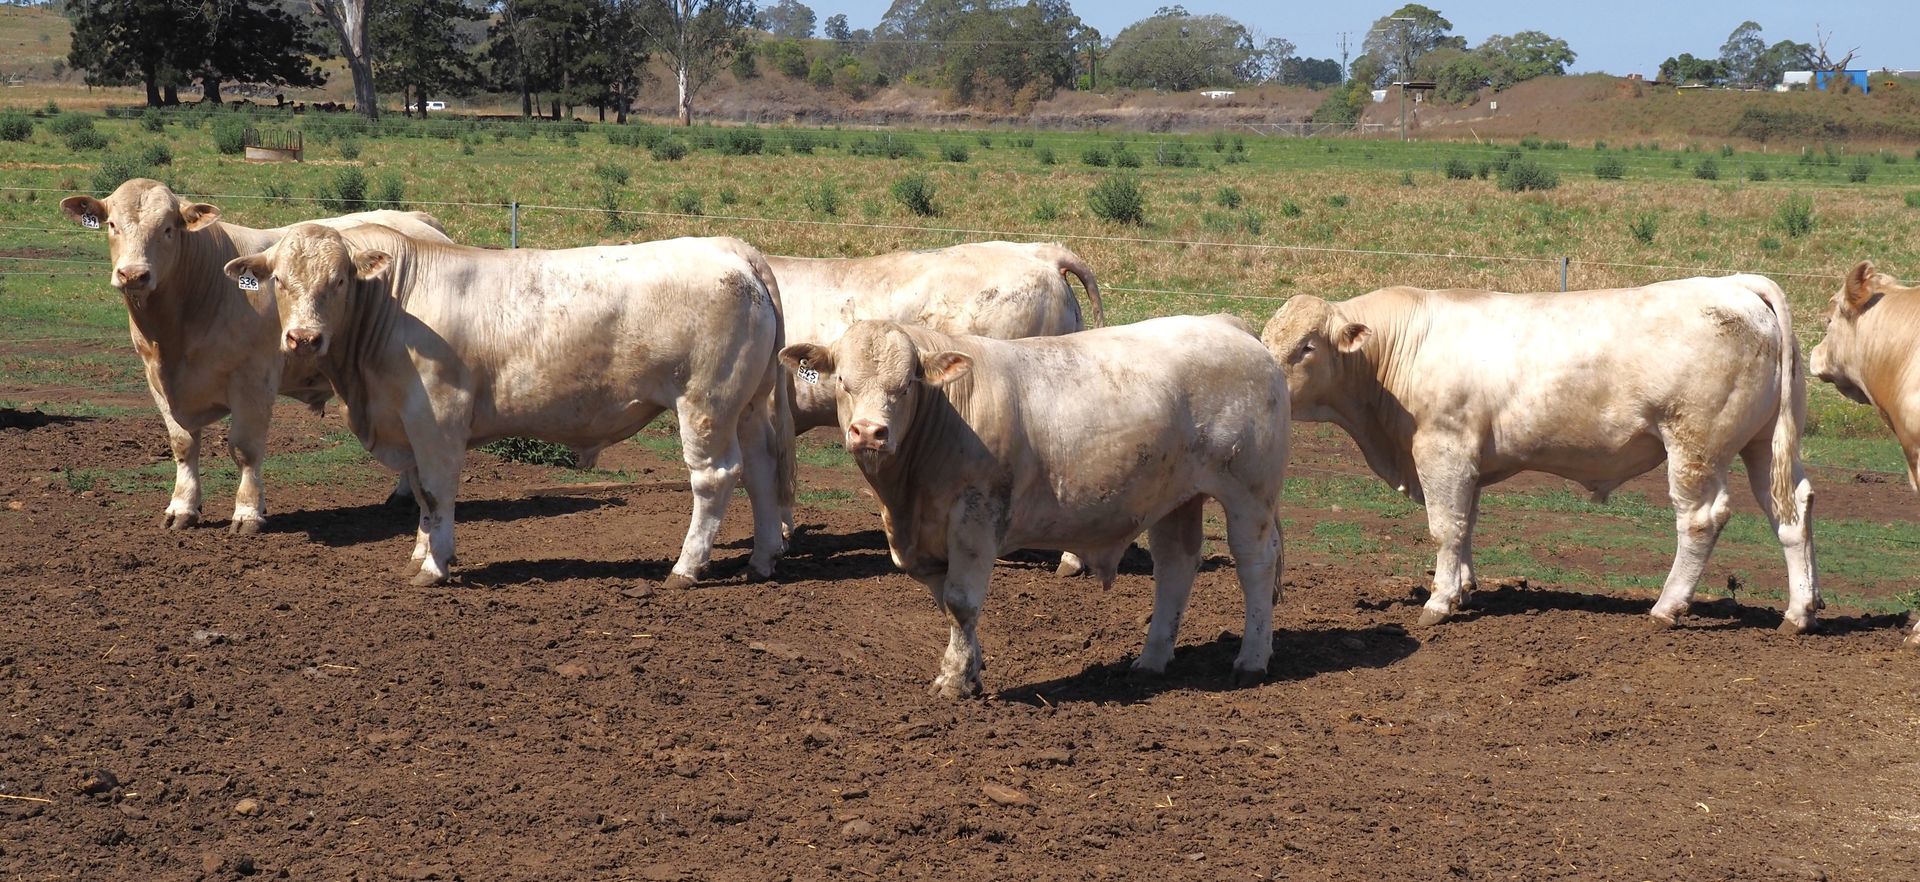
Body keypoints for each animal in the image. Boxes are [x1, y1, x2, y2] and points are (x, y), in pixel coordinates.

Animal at [59, 178, 452, 534]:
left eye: (168, 229)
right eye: (112, 225)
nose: (133, 274)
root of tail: (419, 219)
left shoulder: (253, 380)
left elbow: (245, 448)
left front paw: (248, 512)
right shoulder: (156, 380)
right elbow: (183, 444)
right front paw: (181, 507)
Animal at [223, 223, 794, 588]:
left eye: (338, 280)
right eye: (279, 280)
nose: (303, 339)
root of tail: (731, 248)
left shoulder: (437, 417)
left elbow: (437, 491)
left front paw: (434, 567)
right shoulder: (406, 425)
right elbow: (422, 496)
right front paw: (422, 552)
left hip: (705, 402)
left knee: (715, 477)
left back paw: (687, 568)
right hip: (745, 405)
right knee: (761, 471)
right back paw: (762, 560)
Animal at [778, 315, 1288, 698]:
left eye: (905, 386)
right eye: (843, 382)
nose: (869, 431)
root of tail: (1228, 325)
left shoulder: (975, 516)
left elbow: (962, 601)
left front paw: (954, 682)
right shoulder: (923, 539)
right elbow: (947, 604)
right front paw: (968, 669)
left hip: (1250, 492)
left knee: (1256, 566)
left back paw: (1251, 660)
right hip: (1173, 497)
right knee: (1176, 566)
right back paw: (1151, 660)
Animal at [1260, 276, 1819, 633]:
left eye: (1307, 346)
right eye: (1266, 337)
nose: (1263, 378)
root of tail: (1736, 284)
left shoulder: (1442, 449)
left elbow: (1445, 526)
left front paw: (1439, 601)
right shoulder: (1467, 461)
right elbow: (1466, 523)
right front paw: (1463, 587)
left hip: (1694, 444)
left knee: (1701, 520)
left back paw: (1667, 607)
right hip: (1764, 444)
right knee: (1792, 510)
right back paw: (1800, 611)